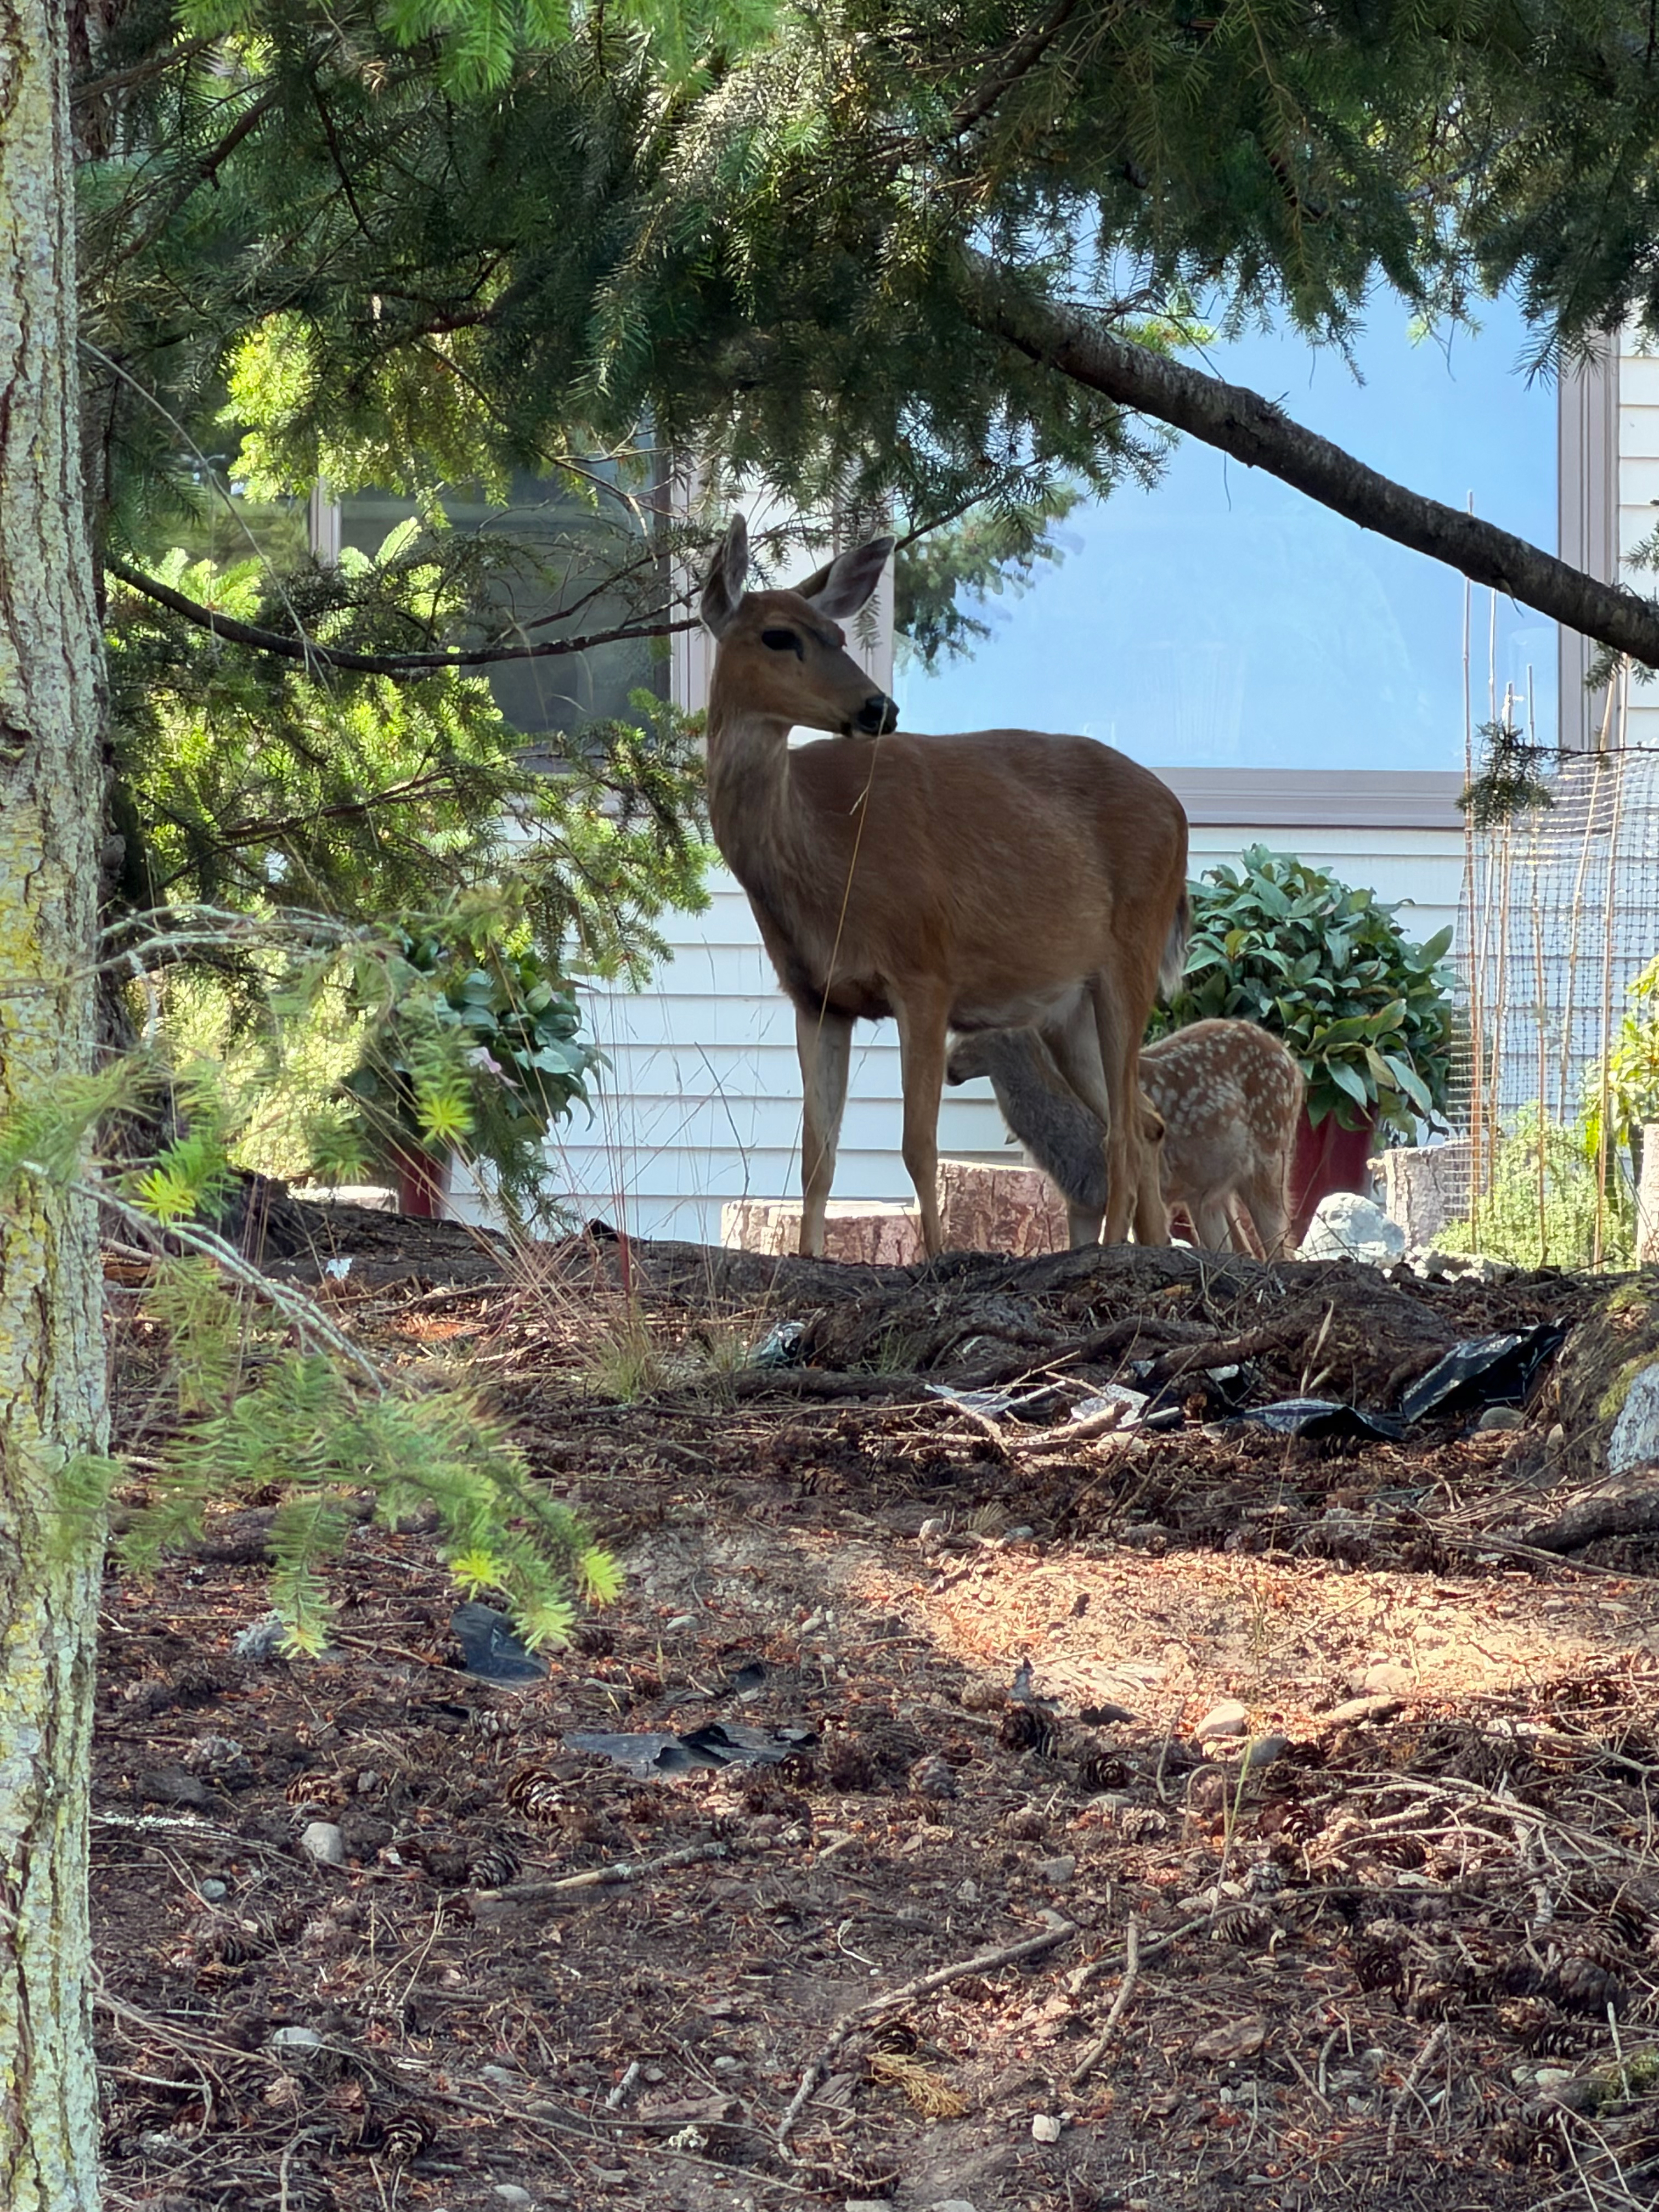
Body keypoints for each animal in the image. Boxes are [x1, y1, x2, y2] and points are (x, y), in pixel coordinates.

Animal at [699, 515, 1190, 1257]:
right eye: (779, 636)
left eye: (838, 634)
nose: (879, 707)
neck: (825, 863)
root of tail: (1179, 814)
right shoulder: (816, 996)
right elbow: (818, 1151)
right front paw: (808, 1255)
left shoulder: (925, 971)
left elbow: (917, 1145)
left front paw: (935, 1256)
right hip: (1068, 1009)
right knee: (1146, 1121)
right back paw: (1154, 1248)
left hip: (1130, 957)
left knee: (1125, 1133)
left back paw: (1112, 1250)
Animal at [947, 1018, 1305, 1258]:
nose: (948, 1068)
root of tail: (1292, 1061)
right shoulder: (1082, 1201)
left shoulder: (1147, 1184)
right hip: (1208, 1194)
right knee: (1241, 1251)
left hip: (1271, 1156)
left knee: (1281, 1250)